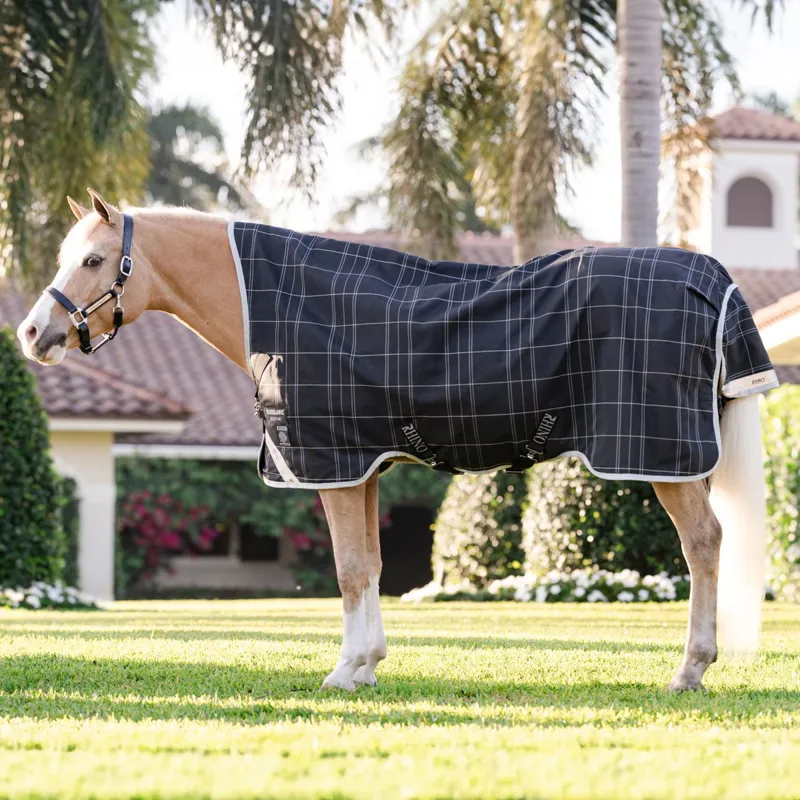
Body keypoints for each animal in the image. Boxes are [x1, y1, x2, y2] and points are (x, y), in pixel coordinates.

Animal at [18, 189, 774, 692]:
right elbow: (372, 566)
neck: (279, 304)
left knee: (703, 542)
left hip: (666, 457)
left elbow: (350, 570)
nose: (31, 333)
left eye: (93, 259)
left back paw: (690, 669)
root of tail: (712, 279)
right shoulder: (366, 467)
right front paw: (367, 665)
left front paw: (344, 671)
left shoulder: (330, 464)